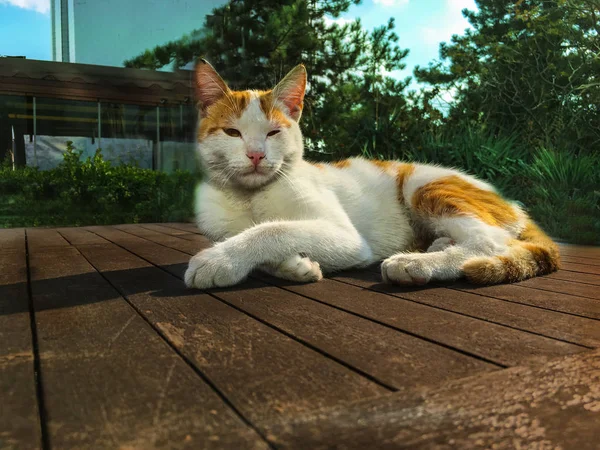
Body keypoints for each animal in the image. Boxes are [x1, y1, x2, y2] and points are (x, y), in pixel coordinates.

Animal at [185, 59, 560, 288]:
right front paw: (296, 266)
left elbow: (273, 229)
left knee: (491, 240)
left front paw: (219, 261)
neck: (249, 198)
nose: (256, 154)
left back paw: (416, 264)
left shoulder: (347, 238)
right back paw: (433, 245)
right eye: (232, 133)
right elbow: (264, 237)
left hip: (422, 186)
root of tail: (510, 203)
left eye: (273, 133)